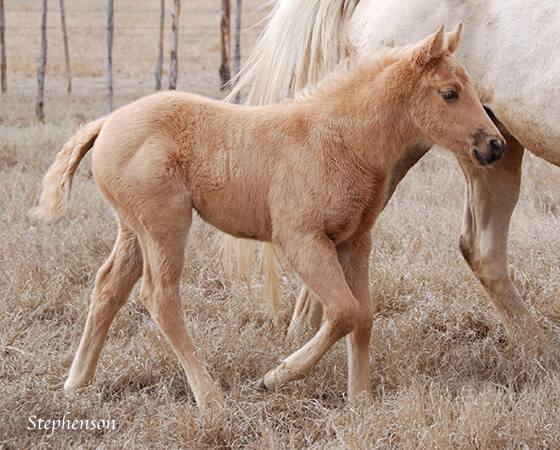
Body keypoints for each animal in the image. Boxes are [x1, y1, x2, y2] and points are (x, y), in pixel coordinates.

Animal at [31, 25, 504, 412]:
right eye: (449, 92)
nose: (494, 145)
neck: (341, 136)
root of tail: (106, 121)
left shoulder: (355, 241)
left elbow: (364, 316)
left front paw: (361, 401)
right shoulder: (300, 238)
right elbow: (344, 311)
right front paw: (276, 377)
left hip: (134, 228)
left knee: (108, 286)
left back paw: (76, 383)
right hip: (164, 224)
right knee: (159, 296)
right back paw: (210, 397)